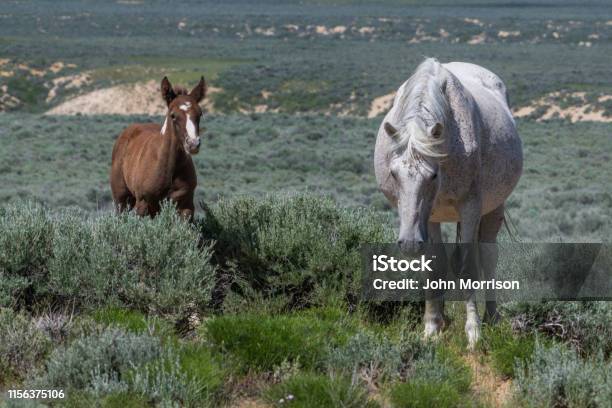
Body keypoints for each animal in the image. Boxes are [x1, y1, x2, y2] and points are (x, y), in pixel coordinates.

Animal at [109, 75, 206, 218]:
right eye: (173, 115)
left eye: (200, 114)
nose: (193, 143)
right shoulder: (142, 205)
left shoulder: (186, 206)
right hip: (122, 200)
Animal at [376, 59, 524, 350]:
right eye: (394, 174)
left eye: (433, 175)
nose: (408, 243)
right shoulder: (430, 216)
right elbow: (434, 266)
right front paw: (432, 327)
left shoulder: (470, 208)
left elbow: (468, 267)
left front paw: (473, 333)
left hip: (493, 209)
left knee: (488, 258)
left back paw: (492, 318)